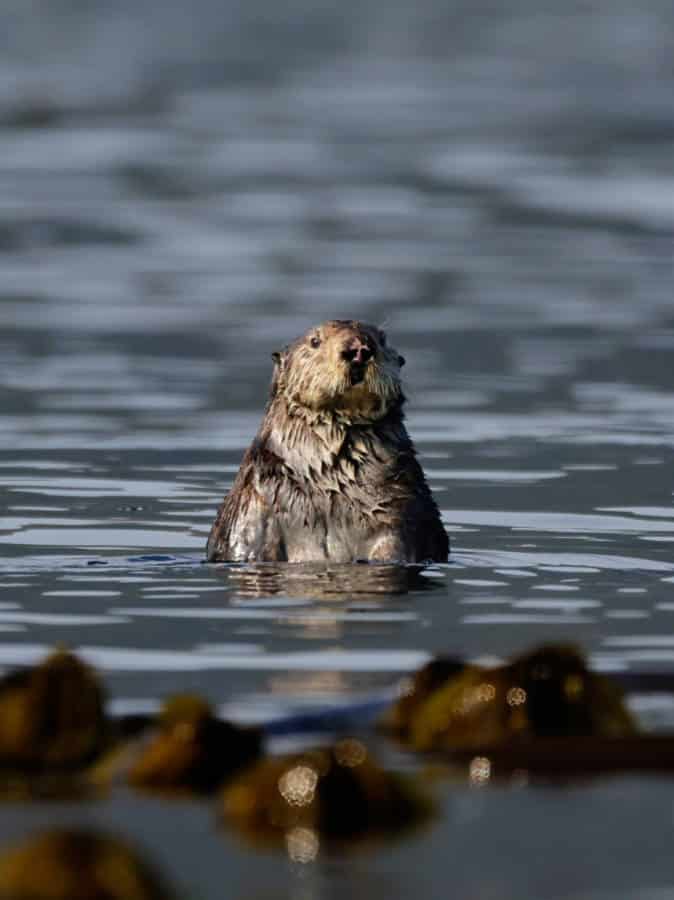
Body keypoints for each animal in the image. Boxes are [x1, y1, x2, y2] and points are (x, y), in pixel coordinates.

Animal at [207, 320, 449, 564]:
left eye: (381, 339)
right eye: (315, 341)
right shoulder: (255, 502)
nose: (358, 350)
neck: (332, 481)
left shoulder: (402, 504)